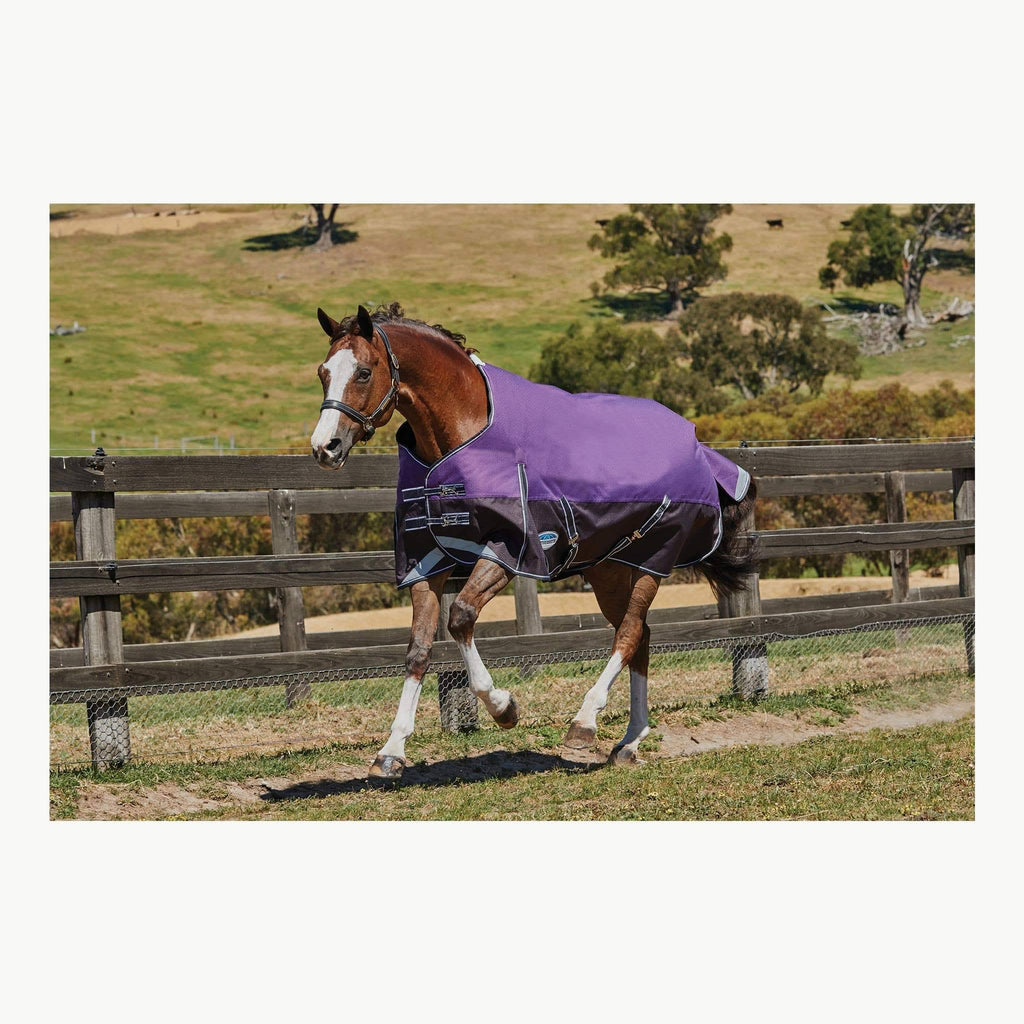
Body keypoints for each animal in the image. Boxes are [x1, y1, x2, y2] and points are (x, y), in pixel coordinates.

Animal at [311, 303, 758, 780]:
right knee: (641, 636)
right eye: (323, 371)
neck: (464, 432)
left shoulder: (509, 549)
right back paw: (629, 741)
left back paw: (585, 723)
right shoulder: (427, 559)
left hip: (651, 559)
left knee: (630, 633)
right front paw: (391, 751)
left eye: (363, 372)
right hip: (608, 570)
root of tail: (697, 445)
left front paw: (504, 708)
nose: (325, 447)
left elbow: (461, 618)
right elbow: (418, 649)